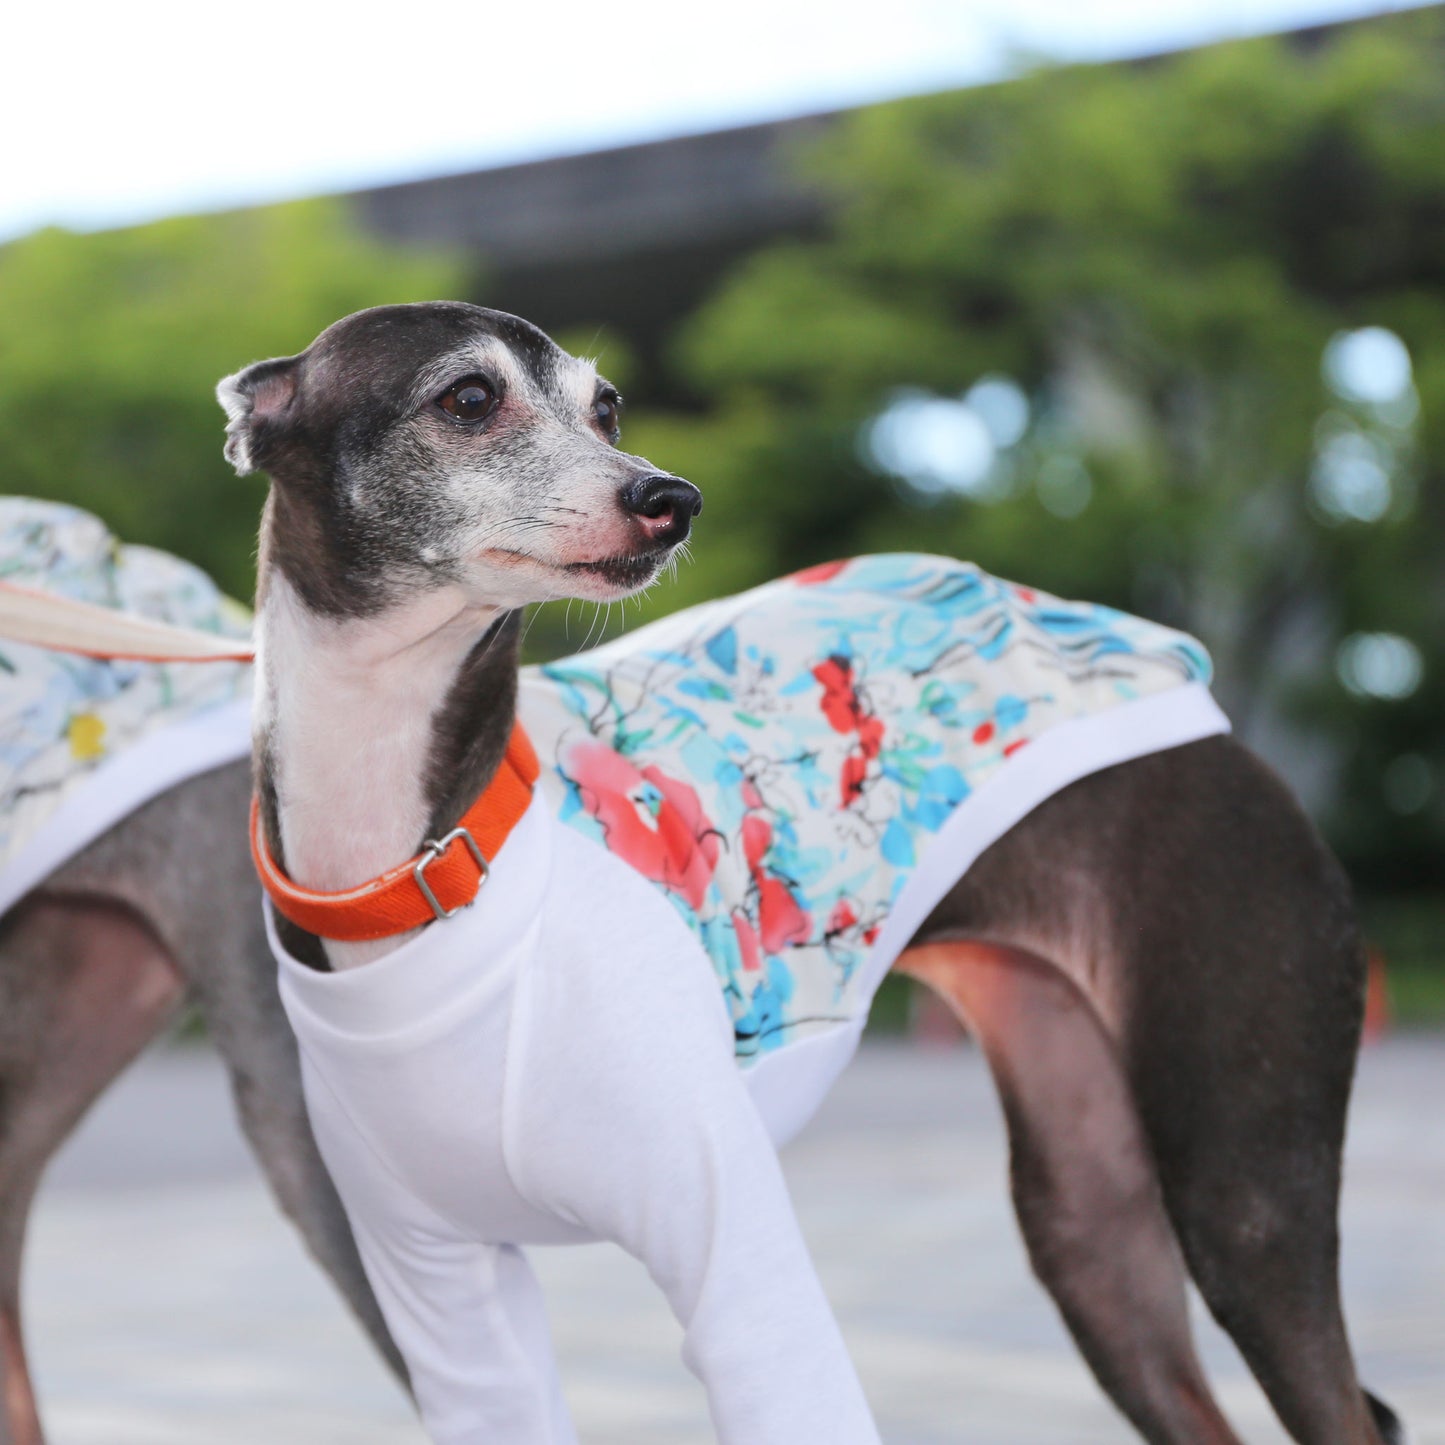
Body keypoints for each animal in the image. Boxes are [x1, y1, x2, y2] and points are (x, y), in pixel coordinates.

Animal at [0, 302, 1398, 1445]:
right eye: (469, 397)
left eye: (606, 406)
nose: (669, 498)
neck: (422, 859)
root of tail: (1182, 682)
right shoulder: (441, 1290)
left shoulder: (732, 1256)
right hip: (1088, 1214)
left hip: (1237, 1174)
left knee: (1332, 1388)